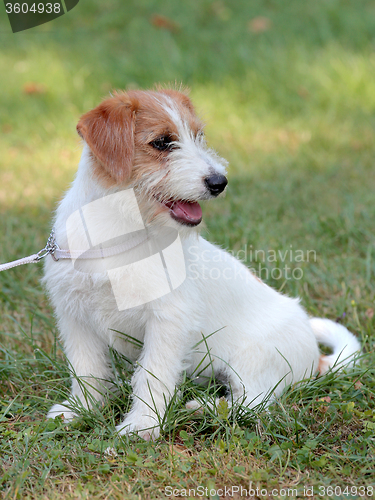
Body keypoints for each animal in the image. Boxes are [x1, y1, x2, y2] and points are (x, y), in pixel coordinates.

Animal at [44, 88, 362, 440]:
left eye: (198, 136)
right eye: (162, 142)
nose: (219, 181)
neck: (118, 231)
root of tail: (314, 356)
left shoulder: (167, 320)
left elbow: (152, 374)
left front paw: (143, 425)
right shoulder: (75, 316)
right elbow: (87, 368)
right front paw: (81, 409)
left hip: (254, 360)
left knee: (252, 402)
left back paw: (203, 408)